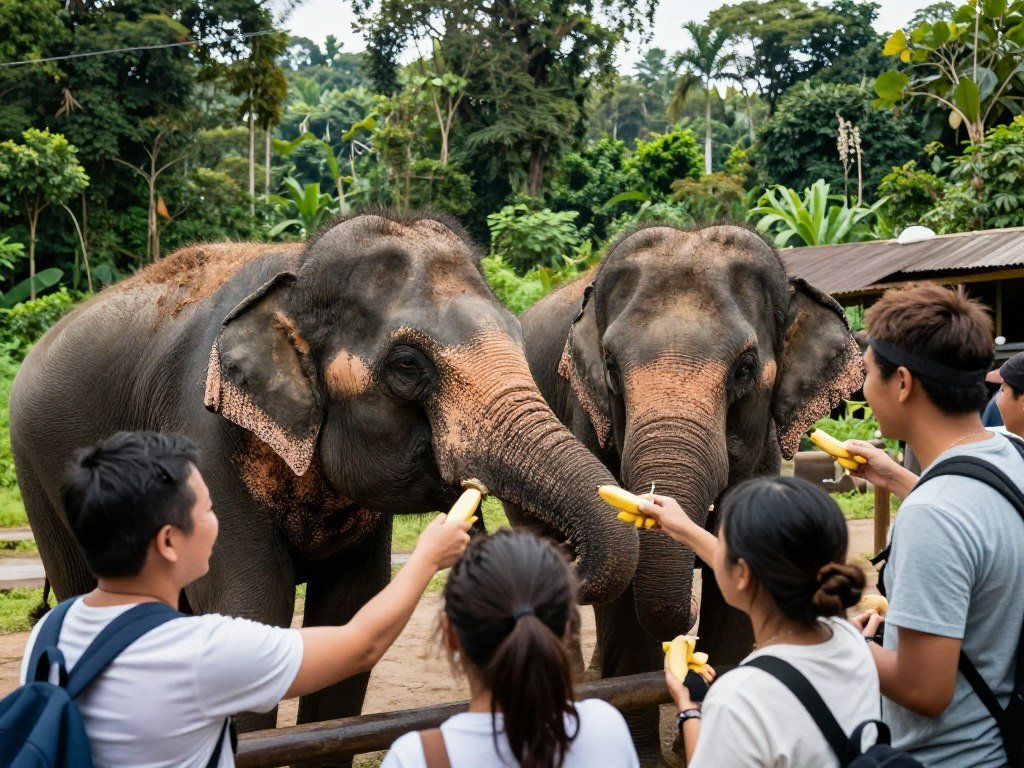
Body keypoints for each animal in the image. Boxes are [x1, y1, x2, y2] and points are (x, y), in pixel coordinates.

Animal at [9, 212, 639, 741]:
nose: (557, 550)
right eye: (407, 366)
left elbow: (351, 611)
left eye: (517, 336)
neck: (299, 275)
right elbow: (251, 607)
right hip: (39, 471)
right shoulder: (202, 438)